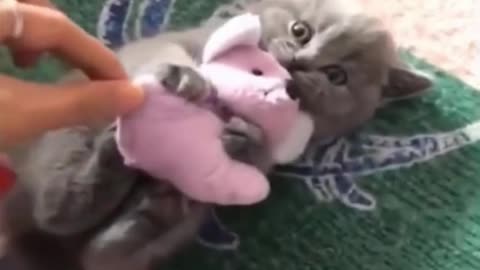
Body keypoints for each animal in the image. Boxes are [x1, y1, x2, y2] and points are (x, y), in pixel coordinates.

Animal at [0, 0, 432, 270]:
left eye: (336, 76)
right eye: (301, 30)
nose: (299, 60)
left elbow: (262, 155)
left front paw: (245, 139)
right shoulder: (161, 46)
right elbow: (169, 55)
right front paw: (185, 77)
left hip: (177, 227)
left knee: (102, 255)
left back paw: (156, 206)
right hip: (66, 126)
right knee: (56, 209)